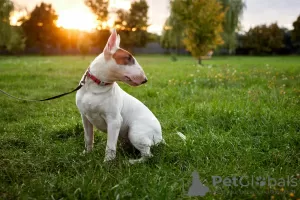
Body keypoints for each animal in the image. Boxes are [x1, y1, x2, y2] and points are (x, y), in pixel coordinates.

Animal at [75, 30, 164, 164]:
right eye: (128, 58)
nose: (145, 80)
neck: (96, 86)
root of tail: (161, 138)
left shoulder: (114, 120)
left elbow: (110, 146)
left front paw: (107, 163)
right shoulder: (85, 117)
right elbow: (88, 137)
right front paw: (86, 153)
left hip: (136, 132)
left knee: (148, 155)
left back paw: (131, 162)